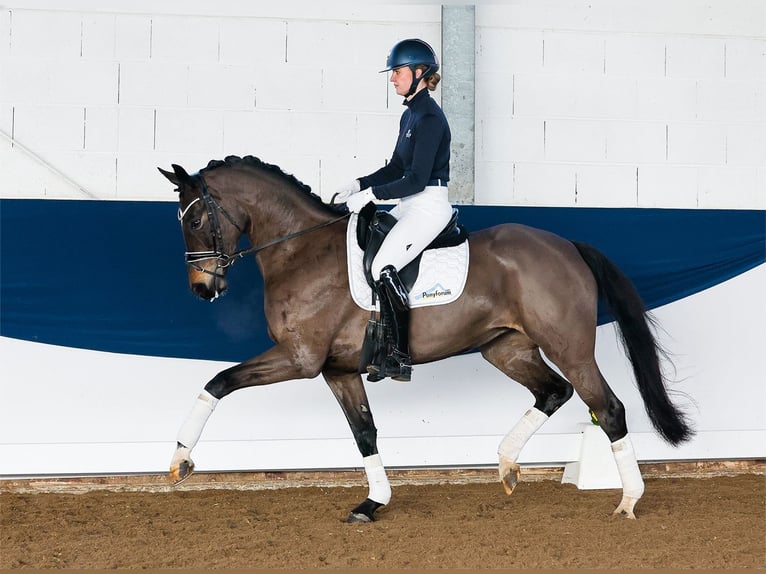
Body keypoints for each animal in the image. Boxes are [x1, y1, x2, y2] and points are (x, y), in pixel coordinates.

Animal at [159, 155, 692, 524]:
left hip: (570, 348)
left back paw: (627, 501)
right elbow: (364, 433)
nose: (203, 289)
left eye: (195, 220)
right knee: (553, 391)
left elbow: (219, 381)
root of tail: (567, 246)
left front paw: (181, 460)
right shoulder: (337, 369)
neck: (300, 249)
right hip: (506, 348)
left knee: (607, 408)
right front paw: (372, 503)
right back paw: (506, 465)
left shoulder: (299, 359)